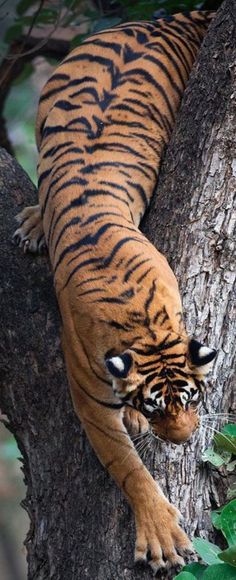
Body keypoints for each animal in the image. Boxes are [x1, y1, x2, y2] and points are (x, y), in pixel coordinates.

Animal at [13, 12, 217, 576]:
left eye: (192, 399)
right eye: (157, 406)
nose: (183, 440)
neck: (141, 324)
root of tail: (161, 20)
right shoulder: (87, 393)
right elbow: (127, 467)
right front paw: (163, 539)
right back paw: (33, 221)